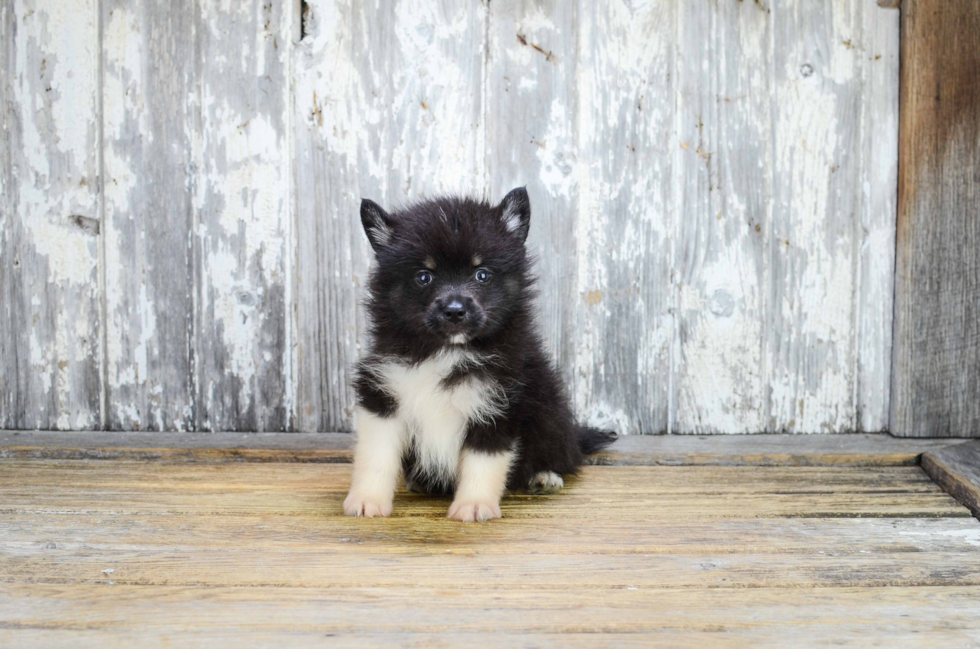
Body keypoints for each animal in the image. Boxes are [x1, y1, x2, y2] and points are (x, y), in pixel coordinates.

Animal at [342, 187, 612, 520]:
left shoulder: (498, 403)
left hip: (551, 416)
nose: (455, 311)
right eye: (423, 277)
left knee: (561, 455)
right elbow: (376, 455)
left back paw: (544, 476)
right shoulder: (384, 395)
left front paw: (473, 505)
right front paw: (367, 499)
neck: (446, 351)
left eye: (482, 274)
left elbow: (483, 460)